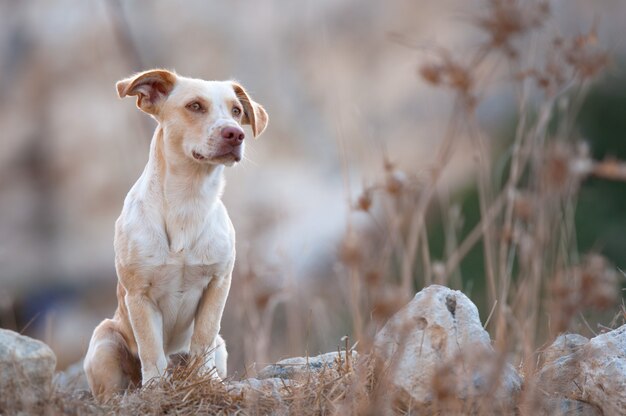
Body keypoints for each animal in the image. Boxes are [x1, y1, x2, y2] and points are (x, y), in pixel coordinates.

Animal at [82, 70, 266, 402]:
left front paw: (208, 381)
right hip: (104, 340)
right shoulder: (139, 296)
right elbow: (151, 348)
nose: (235, 134)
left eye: (235, 111)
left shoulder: (218, 283)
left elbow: (203, 336)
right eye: (195, 106)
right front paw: (155, 388)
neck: (188, 203)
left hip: (222, 347)